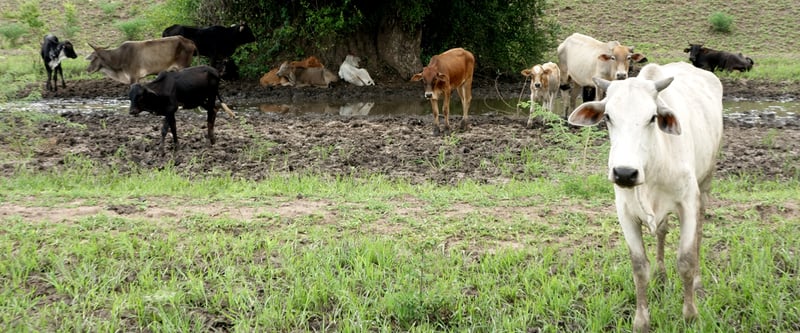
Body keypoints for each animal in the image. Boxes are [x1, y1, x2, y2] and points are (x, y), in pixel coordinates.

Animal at [568, 62, 724, 332]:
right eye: (608, 117)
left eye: (652, 117)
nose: (624, 173)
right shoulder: (625, 211)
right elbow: (639, 267)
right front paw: (641, 321)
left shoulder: (687, 204)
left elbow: (685, 261)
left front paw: (691, 316)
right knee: (662, 231)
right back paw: (661, 276)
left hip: (705, 183)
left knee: (699, 234)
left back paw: (698, 282)